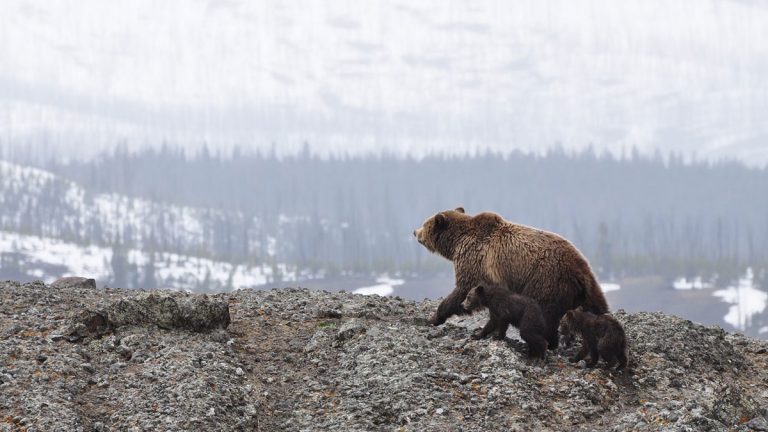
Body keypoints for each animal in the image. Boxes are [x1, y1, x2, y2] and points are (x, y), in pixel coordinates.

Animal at [416, 208, 608, 350]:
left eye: (424, 224)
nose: (414, 231)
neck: (457, 242)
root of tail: (579, 270)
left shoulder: (474, 261)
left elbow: (462, 290)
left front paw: (434, 317)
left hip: (545, 280)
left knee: (544, 314)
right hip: (587, 287)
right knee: (598, 307)